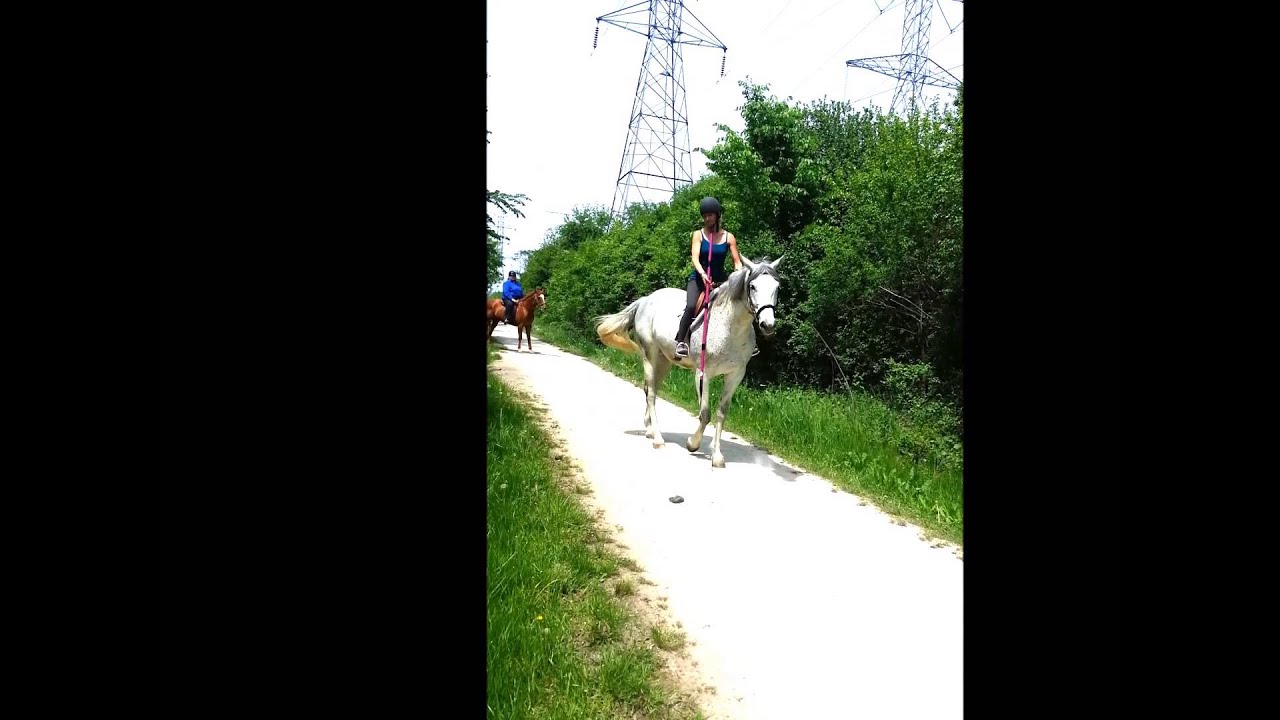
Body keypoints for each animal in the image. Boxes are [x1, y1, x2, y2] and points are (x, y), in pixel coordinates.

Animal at [593, 255, 784, 468]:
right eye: (752, 286)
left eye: (777, 286)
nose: (767, 325)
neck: (730, 327)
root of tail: (645, 300)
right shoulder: (703, 373)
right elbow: (705, 413)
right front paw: (693, 444)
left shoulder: (735, 375)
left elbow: (721, 413)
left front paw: (717, 456)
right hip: (649, 355)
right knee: (651, 394)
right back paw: (658, 439)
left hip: (664, 361)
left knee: (651, 389)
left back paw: (650, 430)